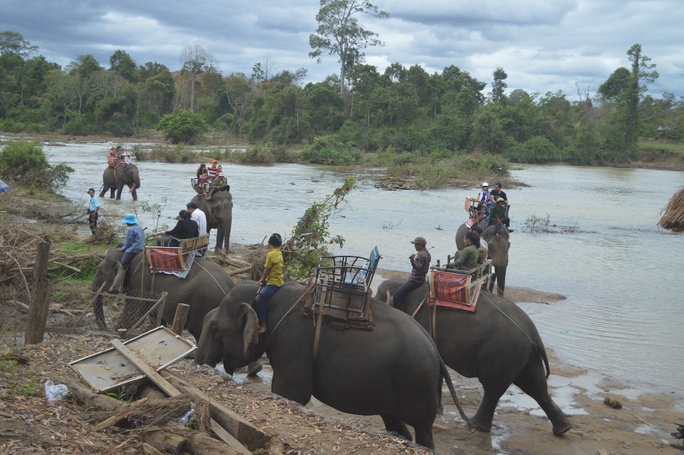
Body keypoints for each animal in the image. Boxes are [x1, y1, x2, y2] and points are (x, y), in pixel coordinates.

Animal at [192, 284, 470, 450]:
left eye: (215, 328)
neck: (264, 296)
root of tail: (435, 351)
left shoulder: (292, 343)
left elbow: (290, 394)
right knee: (395, 423)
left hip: (416, 383)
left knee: (423, 431)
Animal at [376, 278, 568, 438]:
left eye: (378, 295)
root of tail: (533, 334)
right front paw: (439, 410)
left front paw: (438, 410)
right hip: (524, 356)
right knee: (536, 387)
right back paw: (563, 429)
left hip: (503, 355)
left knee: (494, 388)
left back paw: (475, 426)